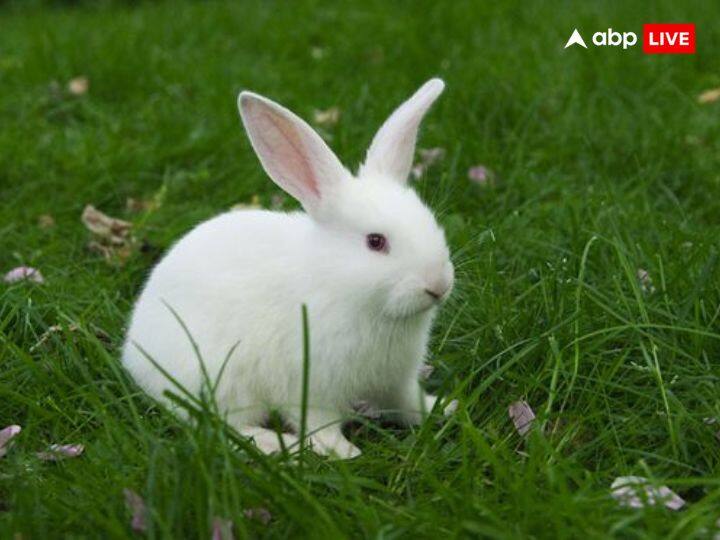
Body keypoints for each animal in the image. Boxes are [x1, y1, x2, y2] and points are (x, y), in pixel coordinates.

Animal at [122, 78, 455, 459]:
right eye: (375, 242)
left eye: (431, 222)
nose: (438, 285)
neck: (339, 284)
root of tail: (133, 353)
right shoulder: (310, 386)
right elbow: (319, 424)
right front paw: (344, 452)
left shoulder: (396, 379)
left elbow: (408, 403)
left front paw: (444, 409)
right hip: (220, 381)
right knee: (219, 425)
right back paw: (273, 444)